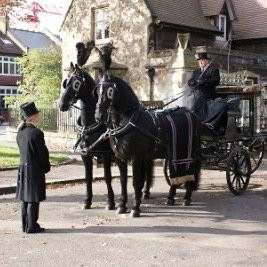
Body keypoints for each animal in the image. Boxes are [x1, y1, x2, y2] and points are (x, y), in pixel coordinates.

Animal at [95, 70, 202, 218]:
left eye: (110, 91)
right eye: (97, 91)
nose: (98, 115)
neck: (129, 121)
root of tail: (192, 113)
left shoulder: (136, 158)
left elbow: (136, 182)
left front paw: (135, 208)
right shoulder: (120, 158)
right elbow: (123, 182)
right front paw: (122, 206)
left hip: (188, 151)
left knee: (189, 169)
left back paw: (186, 197)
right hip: (176, 152)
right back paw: (171, 197)